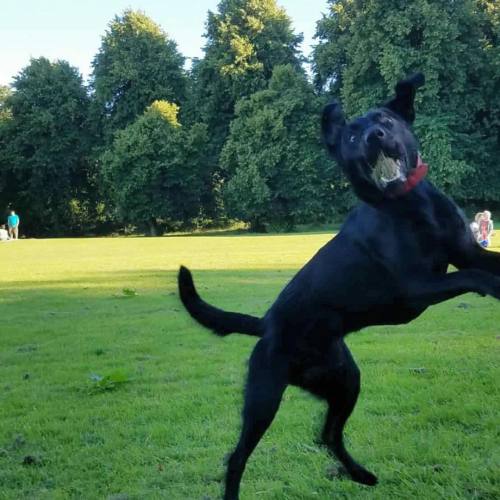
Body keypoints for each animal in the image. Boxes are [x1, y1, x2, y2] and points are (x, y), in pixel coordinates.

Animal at [178, 72, 498, 498]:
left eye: (385, 119)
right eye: (351, 135)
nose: (375, 136)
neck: (409, 206)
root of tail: (265, 324)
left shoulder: (468, 252)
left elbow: (482, 265)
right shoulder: (416, 287)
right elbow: (471, 277)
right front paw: (494, 286)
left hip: (345, 380)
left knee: (328, 435)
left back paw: (362, 475)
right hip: (264, 397)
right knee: (238, 458)